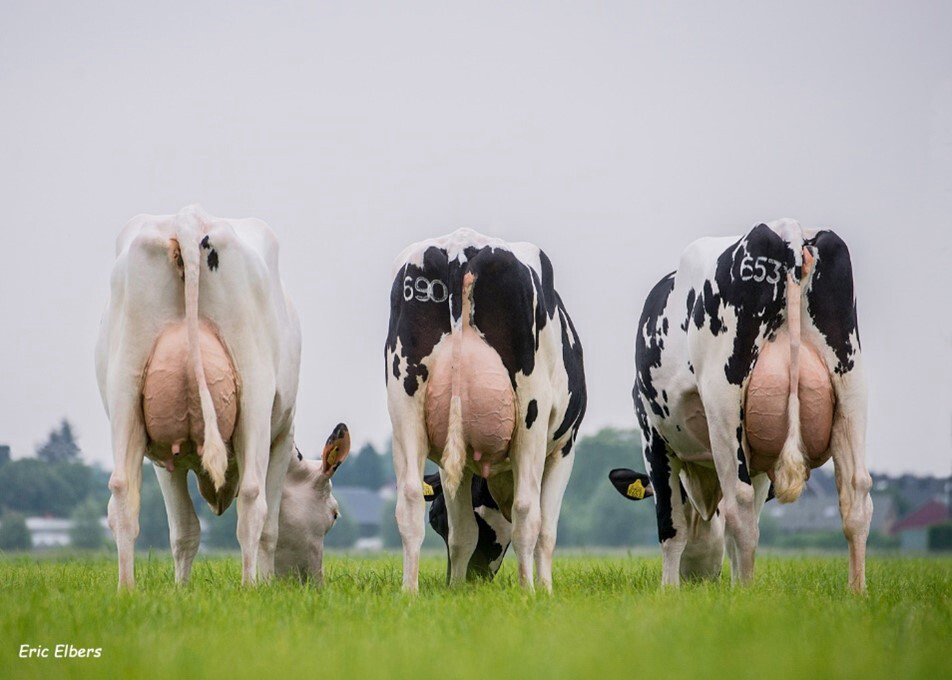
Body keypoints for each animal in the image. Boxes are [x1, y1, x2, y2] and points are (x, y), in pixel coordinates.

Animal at [384, 231, 580, 592]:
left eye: (437, 520)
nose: (476, 580)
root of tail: (462, 246)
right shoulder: (564, 447)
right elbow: (547, 530)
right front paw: (546, 590)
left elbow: (462, 533)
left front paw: (455, 589)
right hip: (531, 416)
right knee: (527, 512)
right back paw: (528, 591)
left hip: (404, 406)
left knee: (409, 500)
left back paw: (410, 591)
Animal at [628, 220, 872, 592]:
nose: (697, 578)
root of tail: (787, 230)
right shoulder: (758, 461)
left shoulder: (651, 434)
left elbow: (671, 528)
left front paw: (668, 591)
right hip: (851, 387)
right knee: (856, 494)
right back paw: (856, 592)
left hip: (723, 401)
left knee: (738, 505)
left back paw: (744, 593)